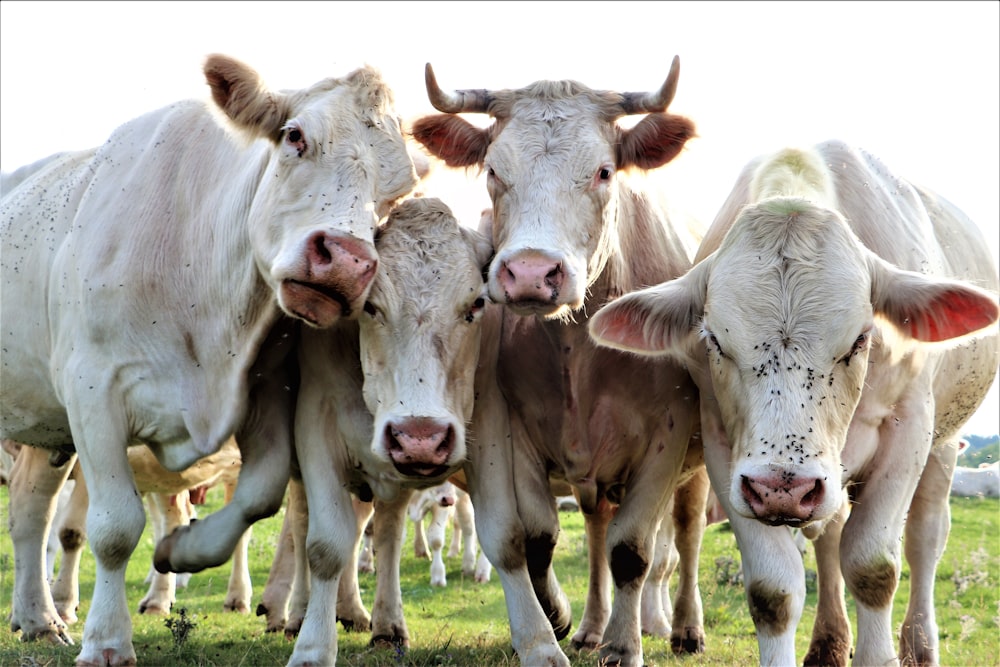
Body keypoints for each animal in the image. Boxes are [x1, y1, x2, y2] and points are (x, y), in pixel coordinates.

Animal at [0, 54, 416, 664]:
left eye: (399, 189)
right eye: (295, 136)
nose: (345, 263)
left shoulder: (265, 389)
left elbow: (260, 494)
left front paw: (183, 549)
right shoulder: (92, 389)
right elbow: (116, 526)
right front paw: (108, 639)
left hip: (45, 423)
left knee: (31, 508)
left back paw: (38, 619)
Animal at [410, 57, 708, 667]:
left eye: (603, 171)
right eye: (494, 171)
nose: (530, 273)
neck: (580, 347)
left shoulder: (667, 438)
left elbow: (634, 549)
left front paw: (624, 645)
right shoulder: (514, 430)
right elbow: (538, 539)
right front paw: (559, 619)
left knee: (686, 534)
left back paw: (685, 628)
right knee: (594, 530)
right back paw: (591, 624)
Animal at [584, 138, 1000, 664]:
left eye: (860, 339)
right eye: (714, 340)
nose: (784, 488)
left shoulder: (909, 429)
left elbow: (872, 567)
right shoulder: (726, 448)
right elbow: (774, 590)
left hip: (942, 446)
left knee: (925, 539)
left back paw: (919, 644)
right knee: (832, 535)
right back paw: (829, 641)